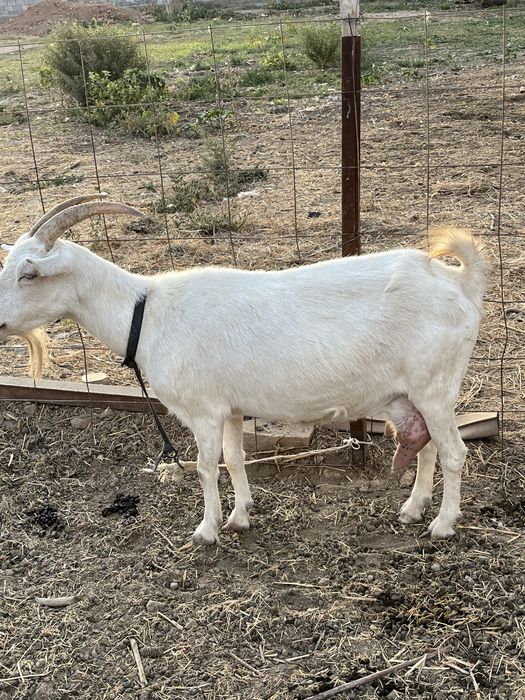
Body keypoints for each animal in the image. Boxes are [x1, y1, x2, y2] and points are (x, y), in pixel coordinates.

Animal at [0, 194, 487, 544]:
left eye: (29, 275)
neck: (147, 314)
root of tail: (460, 280)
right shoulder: (231, 409)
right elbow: (234, 459)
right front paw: (240, 516)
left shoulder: (203, 410)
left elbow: (204, 466)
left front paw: (206, 530)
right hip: (411, 393)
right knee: (425, 446)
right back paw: (412, 509)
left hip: (435, 387)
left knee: (454, 452)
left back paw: (442, 524)